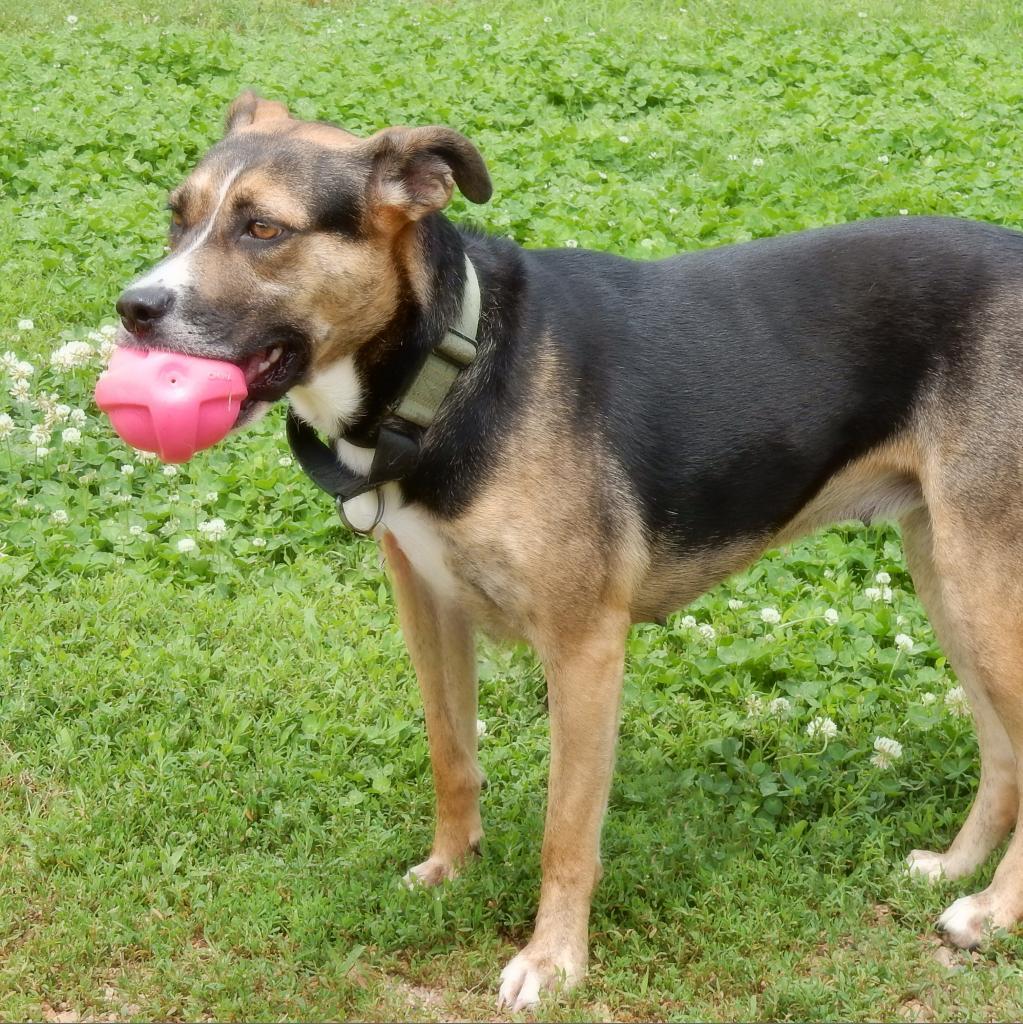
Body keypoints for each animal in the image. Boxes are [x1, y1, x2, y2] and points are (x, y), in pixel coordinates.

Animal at [114, 90, 1023, 1007]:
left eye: (264, 228)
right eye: (176, 218)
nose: (132, 309)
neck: (454, 366)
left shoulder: (584, 647)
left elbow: (567, 832)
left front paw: (552, 961)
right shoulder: (430, 609)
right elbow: (451, 756)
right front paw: (450, 869)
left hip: (981, 586)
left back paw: (990, 911)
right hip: (947, 577)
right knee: (1001, 752)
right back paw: (955, 867)